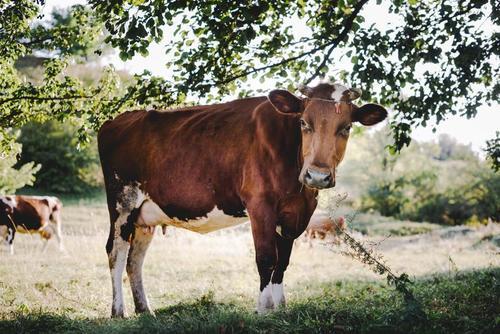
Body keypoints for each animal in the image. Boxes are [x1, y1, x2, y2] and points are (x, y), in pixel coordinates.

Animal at [96, 82, 386, 318]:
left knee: (135, 260)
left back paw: (145, 310)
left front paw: (280, 307)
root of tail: (119, 119)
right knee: (116, 252)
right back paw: (118, 311)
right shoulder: (260, 205)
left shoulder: (296, 214)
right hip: (122, 201)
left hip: (145, 216)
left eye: (346, 127)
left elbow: (283, 261)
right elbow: (266, 258)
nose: (317, 176)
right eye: (304, 123)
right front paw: (263, 308)